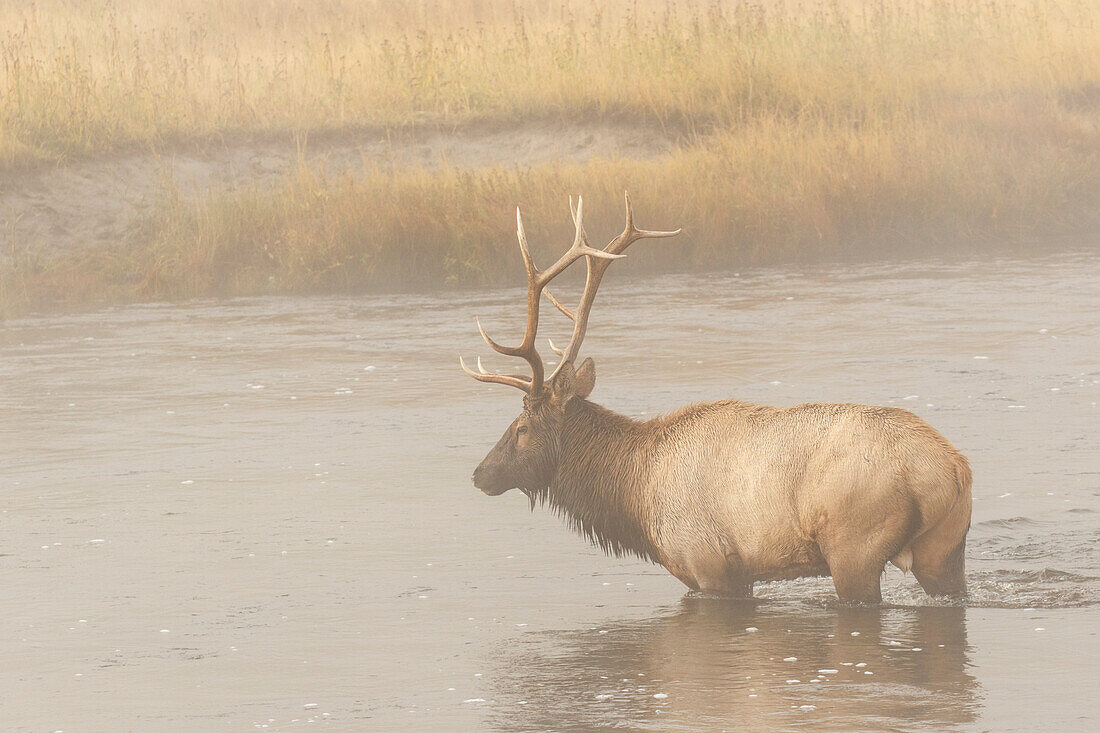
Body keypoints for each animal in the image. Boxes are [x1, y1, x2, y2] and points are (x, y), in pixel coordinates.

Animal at [459, 192, 968, 598]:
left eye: (520, 427)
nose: (479, 474)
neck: (635, 493)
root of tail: (952, 469)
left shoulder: (710, 567)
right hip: (944, 550)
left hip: (854, 548)